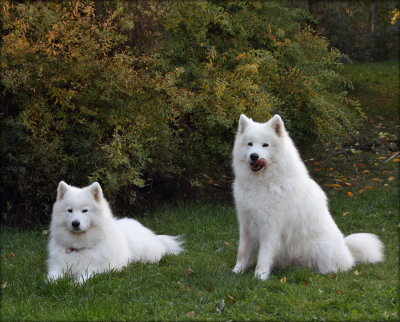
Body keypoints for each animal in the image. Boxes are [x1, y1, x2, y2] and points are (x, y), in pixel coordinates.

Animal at [47, 181, 184, 282]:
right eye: (69, 210)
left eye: (84, 210)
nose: (75, 223)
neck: (79, 248)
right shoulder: (57, 266)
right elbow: (52, 278)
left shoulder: (95, 268)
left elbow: (82, 279)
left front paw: (75, 284)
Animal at [231, 115, 384, 280]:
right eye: (250, 144)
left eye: (265, 145)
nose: (254, 156)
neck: (262, 183)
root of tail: (347, 250)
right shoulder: (246, 224)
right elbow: (242, 252)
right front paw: (237, 271)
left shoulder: (270, 227)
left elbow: (263, 256)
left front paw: (260, 276)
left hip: (321, 247)